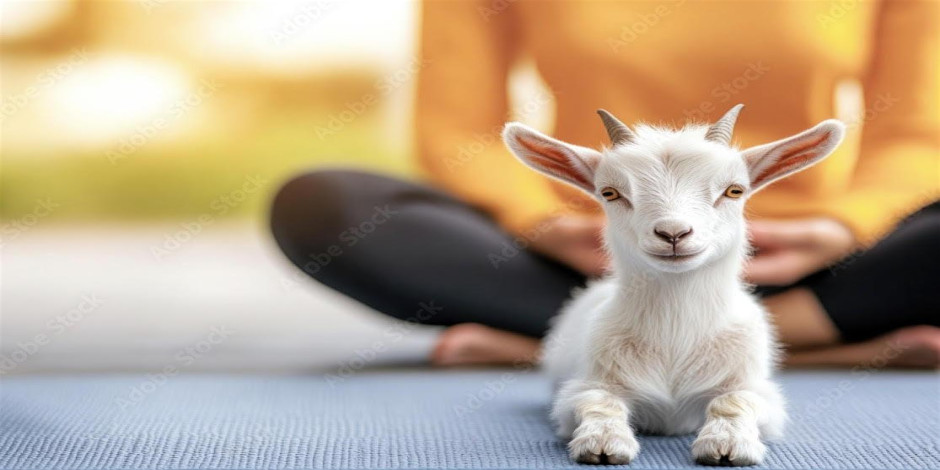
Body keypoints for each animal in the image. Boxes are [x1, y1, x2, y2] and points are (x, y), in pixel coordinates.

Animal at [502, 105, 845, 466]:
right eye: (610, 193)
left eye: (734, 190)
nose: (673, 233)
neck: (674, 333)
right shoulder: (585, 385)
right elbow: (598, 402)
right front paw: (603, 443)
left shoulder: (756, 388)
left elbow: (735, 401)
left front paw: (727, 445)